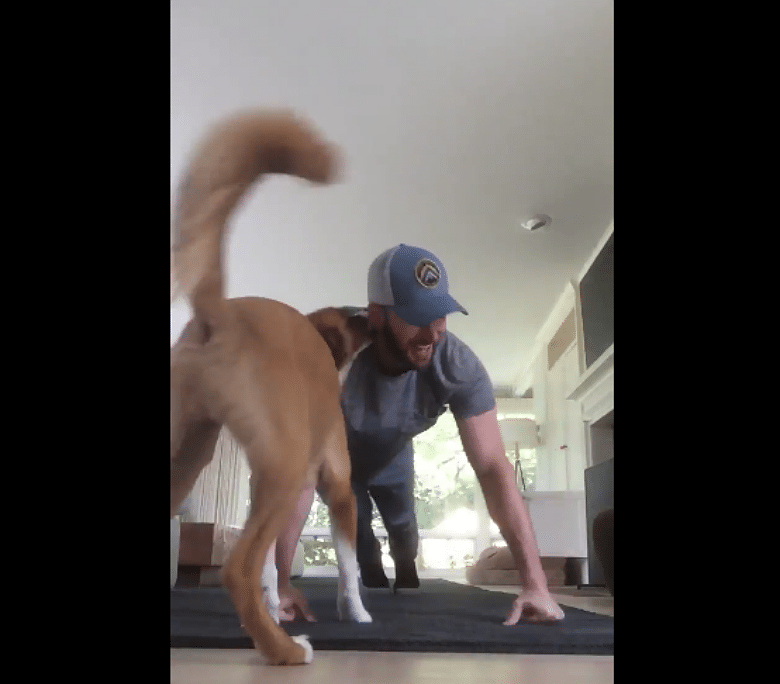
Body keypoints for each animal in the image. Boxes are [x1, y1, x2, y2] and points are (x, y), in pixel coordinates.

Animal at [170, 109, 374, 664]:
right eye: (353, 321)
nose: (371, 313)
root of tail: (221, 316)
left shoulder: (259, 489)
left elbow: (270, 570)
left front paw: (277, 603)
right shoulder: (337, 489)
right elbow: (348, 566)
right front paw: (357, 614)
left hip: (191, 458)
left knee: (246, 562)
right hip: (282, 472)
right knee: (236, 569)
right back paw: (285, 650)